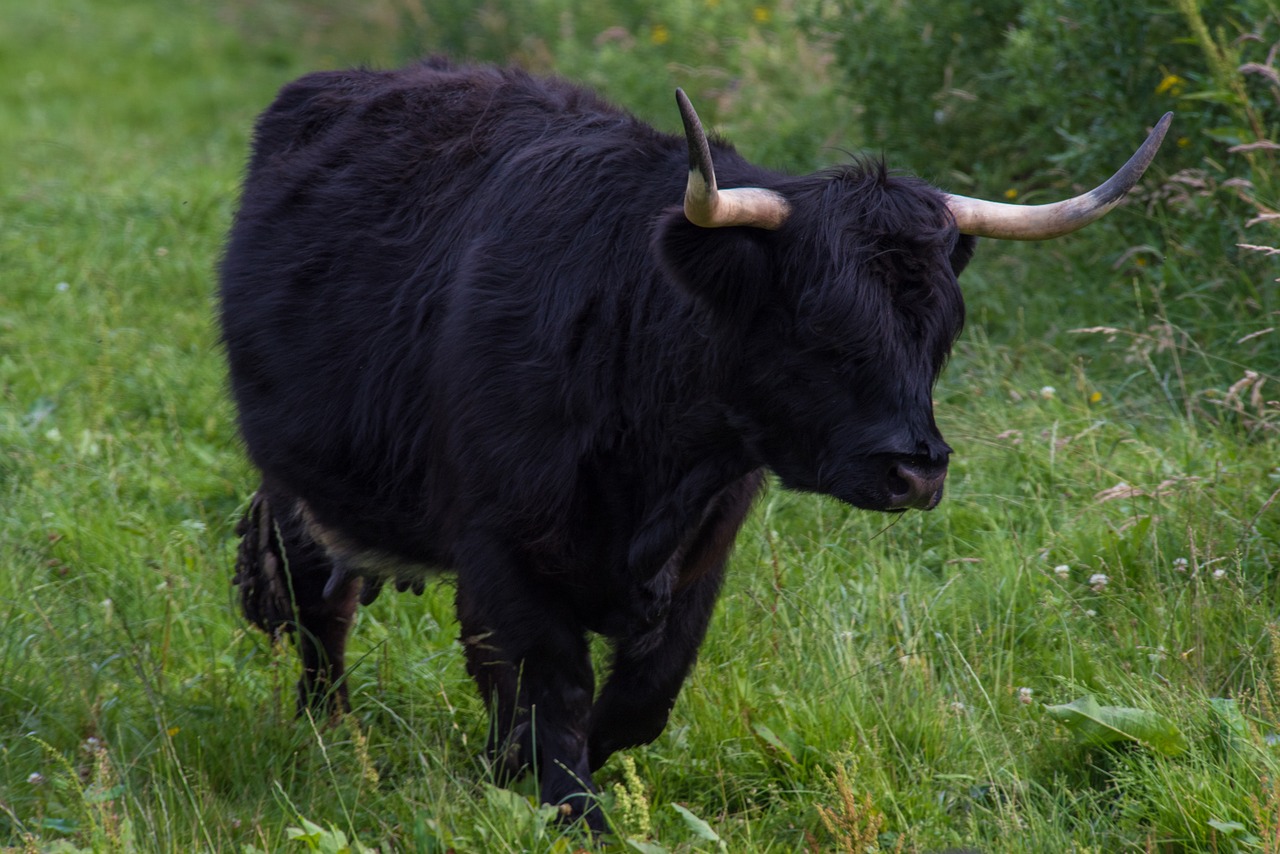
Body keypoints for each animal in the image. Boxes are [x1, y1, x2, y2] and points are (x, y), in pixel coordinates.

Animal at [220, 58, 1172, 829]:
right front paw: (565, 809)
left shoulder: (703, 552)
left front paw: (509, 771)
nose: (918, 471)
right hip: (298, 482)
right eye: (821, 327)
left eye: (940, 332)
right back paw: (334, 740)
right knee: (317, 608)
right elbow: (547, 694)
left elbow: (640, 698)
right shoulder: (502, 549)